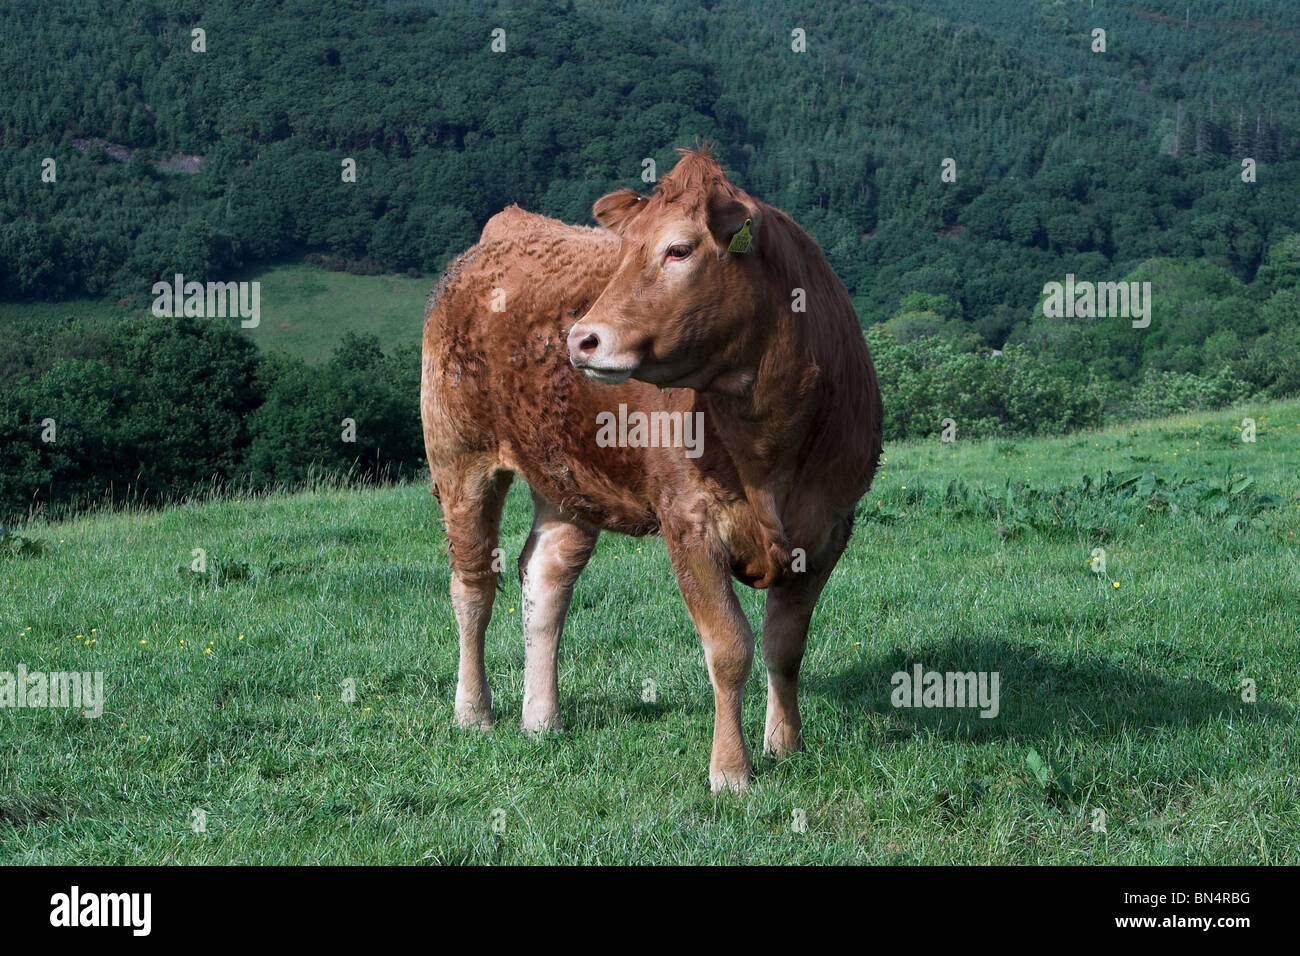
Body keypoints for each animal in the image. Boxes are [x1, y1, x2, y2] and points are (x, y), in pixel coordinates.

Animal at [423, 149, 883, 790]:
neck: (770, 441)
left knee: (545, 579)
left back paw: (542, 718)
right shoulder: (688, 520)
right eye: (624, 251)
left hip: (567, 476)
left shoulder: (830, 529)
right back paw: (474, 712)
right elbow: (729, 647)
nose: (581, 339)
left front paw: (786, 746)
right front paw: (730, 770)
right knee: (472, 586)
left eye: (679, 250)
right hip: (460, 456)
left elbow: (785, 645)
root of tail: (509, 226)